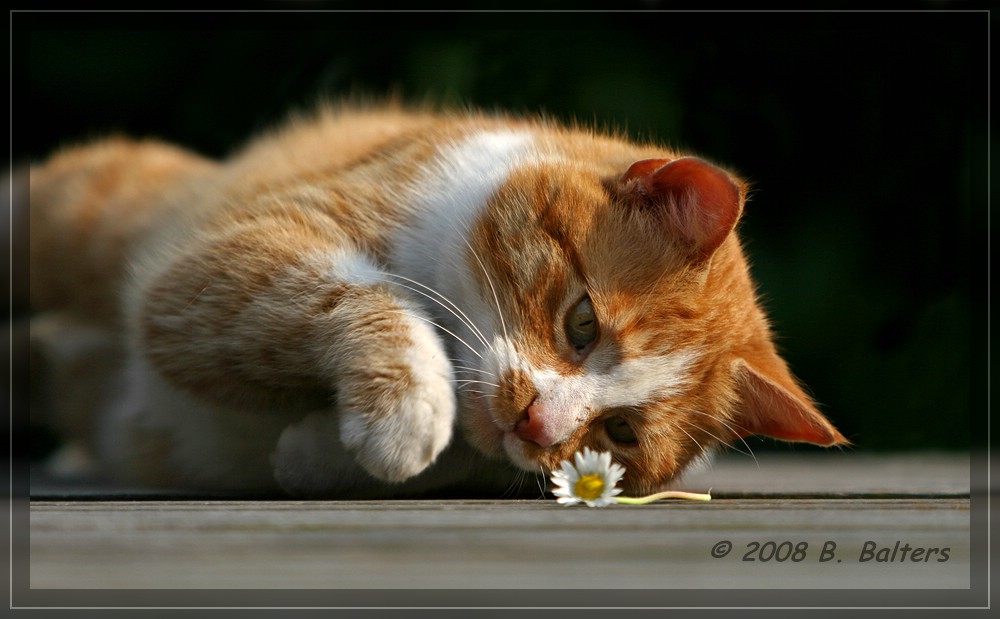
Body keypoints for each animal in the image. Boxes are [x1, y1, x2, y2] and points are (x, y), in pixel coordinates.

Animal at [29, 101, 844, 498]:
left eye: (620, 433)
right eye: (583, 323)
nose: (539, 423)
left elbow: (464, 459)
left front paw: (313, 457)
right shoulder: (216, 265)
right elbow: (362, 300)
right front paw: (408, 412)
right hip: (83, 212)